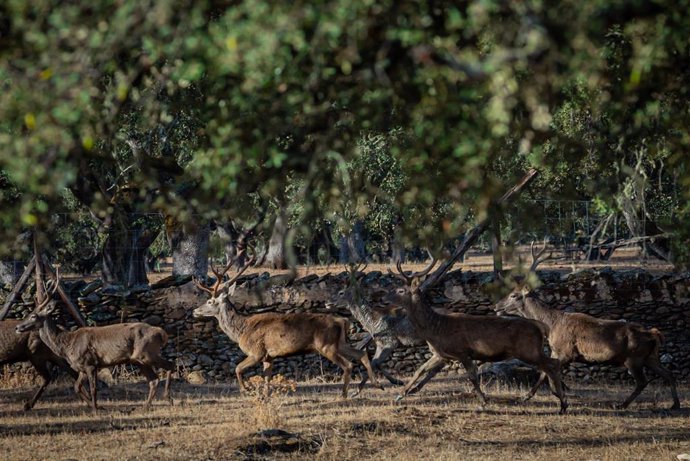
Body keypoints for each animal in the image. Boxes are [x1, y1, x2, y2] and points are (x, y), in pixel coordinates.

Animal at [15, 272, 173, 408]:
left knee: (169, 365)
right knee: (153, 380)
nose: (18, 327)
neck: (67, 345)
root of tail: (162, 333)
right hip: (138, 360)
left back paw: (167, 397)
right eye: (29, 313)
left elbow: (93, 389)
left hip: (146, 353)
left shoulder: (90, 363)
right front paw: (95, 406)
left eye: (33, 316)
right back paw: (146, 406)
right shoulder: (82, 367)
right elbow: (77, 387)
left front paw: (96, 408)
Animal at [191, 250, 382, 398]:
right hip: (339, 342)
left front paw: (245, 390)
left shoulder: (257, 352)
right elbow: (266, 379)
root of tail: (343, 320)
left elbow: (237, 368)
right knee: (361, 353)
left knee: (348, 364)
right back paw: (375, 384)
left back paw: (343, 395)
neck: (241, 330)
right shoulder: (269, 356)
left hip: (326, 345)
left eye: (210, 301)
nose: (195, 311)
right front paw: (265, 397)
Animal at [384, 258, 568, 414]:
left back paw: (563, 403)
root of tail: (540, 326)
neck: (435, 329)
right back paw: (560, 400)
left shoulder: (462, 351)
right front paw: (400, 394)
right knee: (551, 364)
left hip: (527, 350)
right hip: (532, 351)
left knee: (552, 364)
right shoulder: (441, 354)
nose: (384, 299)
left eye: (401, 290)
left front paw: (483, 402)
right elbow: (420, 369)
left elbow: (472, 376)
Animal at [492, 239, 680, 408]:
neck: (551, 326)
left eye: (513, 295)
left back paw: (622, 404)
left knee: (643, 381)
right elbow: (543, 373)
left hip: (633, 357)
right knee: (669, 373)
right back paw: (675, 404)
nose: (496, 307)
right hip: (650, 357)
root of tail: (654, 334)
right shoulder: (555, 351)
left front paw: (544, 395)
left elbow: (546, 373)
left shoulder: (566, 351)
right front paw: (530, 396)